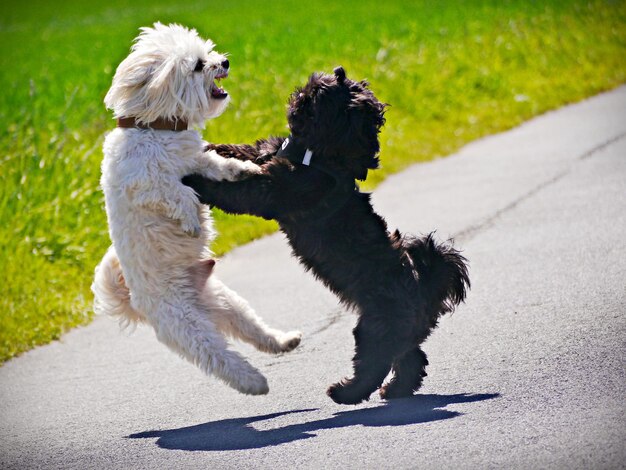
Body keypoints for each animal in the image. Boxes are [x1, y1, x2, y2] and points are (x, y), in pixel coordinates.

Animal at [89, 23, 300, 396]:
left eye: (209, 54)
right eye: (200, 65)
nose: (225, 62)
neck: (155, 129)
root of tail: (137, 303)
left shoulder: (197, 161)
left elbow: (218, 165)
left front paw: (244, 169)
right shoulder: (149, 183)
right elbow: (180, 193)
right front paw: (191, 222)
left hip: (225, 303)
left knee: (252, 329)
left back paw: (283, 341)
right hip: (188, 326)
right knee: (219, 357)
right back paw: (254, 381)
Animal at [183, 67, 466, 404]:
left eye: (321, 98)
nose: (306, 89)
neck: (319, 156)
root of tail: (426, 286)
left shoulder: (274, 190)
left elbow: (237, 191)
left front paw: (195, 178)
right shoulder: (265, 153)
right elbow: (241, 152)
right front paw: (209, 150)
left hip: (376, 326)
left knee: (375, 362)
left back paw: (346, 392)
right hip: (398, 330)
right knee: (412, 358)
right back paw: (396, 390)